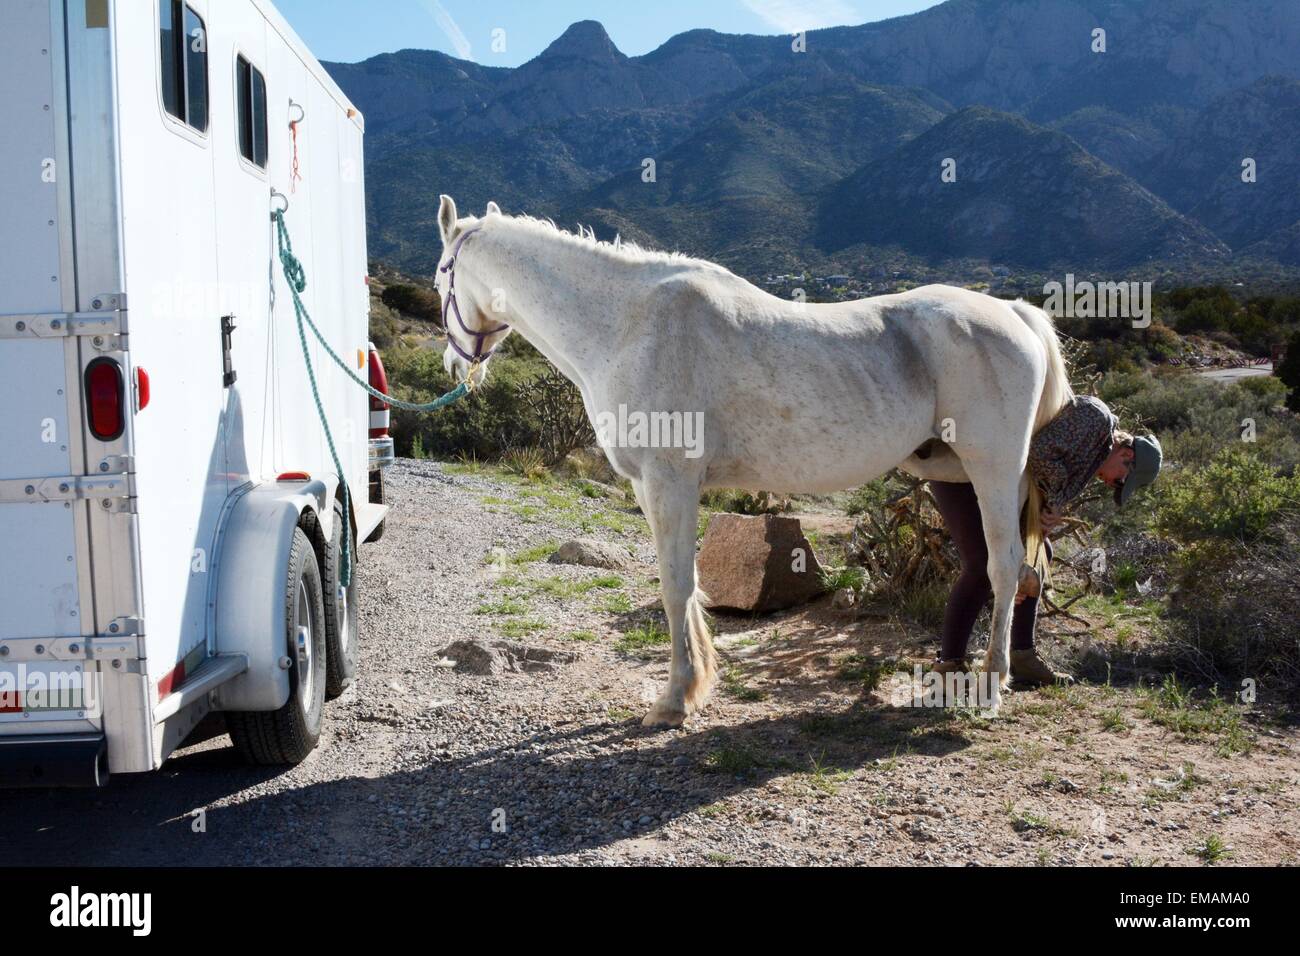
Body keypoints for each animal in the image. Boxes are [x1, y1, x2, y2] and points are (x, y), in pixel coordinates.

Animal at [432, 195, 1072, 727]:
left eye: (442, 275)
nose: (454, 363)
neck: (629, 325)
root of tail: (1015, 313)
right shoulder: (650, 486)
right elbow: (686, 586)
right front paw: (693, 687)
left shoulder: (671, 482)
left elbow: (675, 586)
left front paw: (673, 700)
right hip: (984, 477)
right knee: (1016, 570)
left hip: (993, 468)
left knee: (1004, 566)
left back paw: (991, 685)